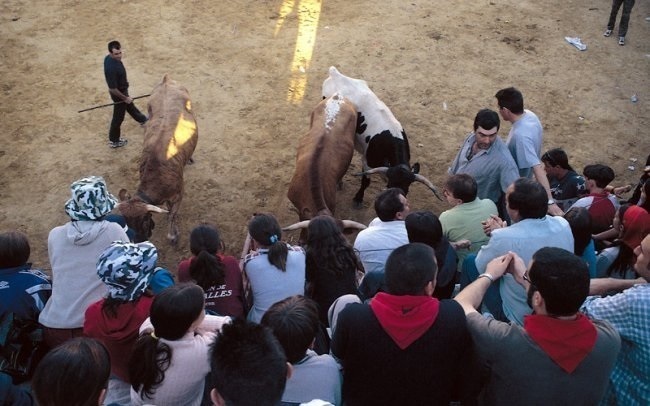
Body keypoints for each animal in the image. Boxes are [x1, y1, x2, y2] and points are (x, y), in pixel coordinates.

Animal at [116, 73, 197, 244]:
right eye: (127, 222)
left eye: (144, 220)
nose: (138, 241)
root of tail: (166, 80)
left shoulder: (179, 194)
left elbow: (172, 215)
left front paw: (173, 235)